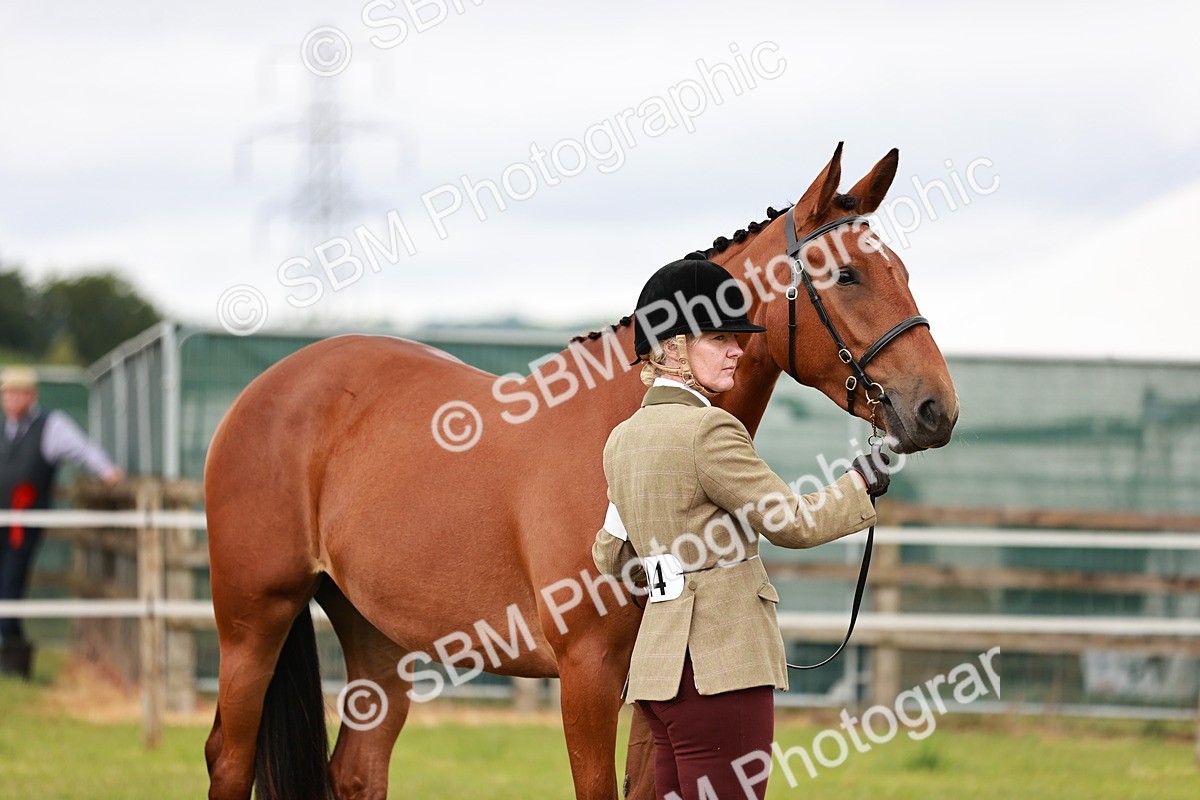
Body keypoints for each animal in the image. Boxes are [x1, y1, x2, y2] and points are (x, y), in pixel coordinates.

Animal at [203, 143, 959, 800]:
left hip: (375, 635)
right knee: (229, 758)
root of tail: (263, 390)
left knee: (357, 770)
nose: (935, 409)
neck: (630, 418)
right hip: (254, 620)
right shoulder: (587, 675)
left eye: (903, 272)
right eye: (846, 275)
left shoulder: (654, 677)